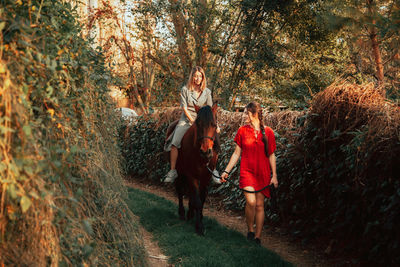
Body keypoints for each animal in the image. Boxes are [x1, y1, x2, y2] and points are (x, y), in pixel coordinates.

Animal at [174, 103, 219, 236]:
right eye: (197, 124)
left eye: (214, 125)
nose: (205, 152)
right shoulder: (191, 175)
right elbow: (197, 201)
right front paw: (199, 226)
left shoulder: (206, 177)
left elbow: (202, 198)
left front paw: (198, 217)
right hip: (179, 172)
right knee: (180, 190)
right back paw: (182, 213)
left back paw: (190, 213)